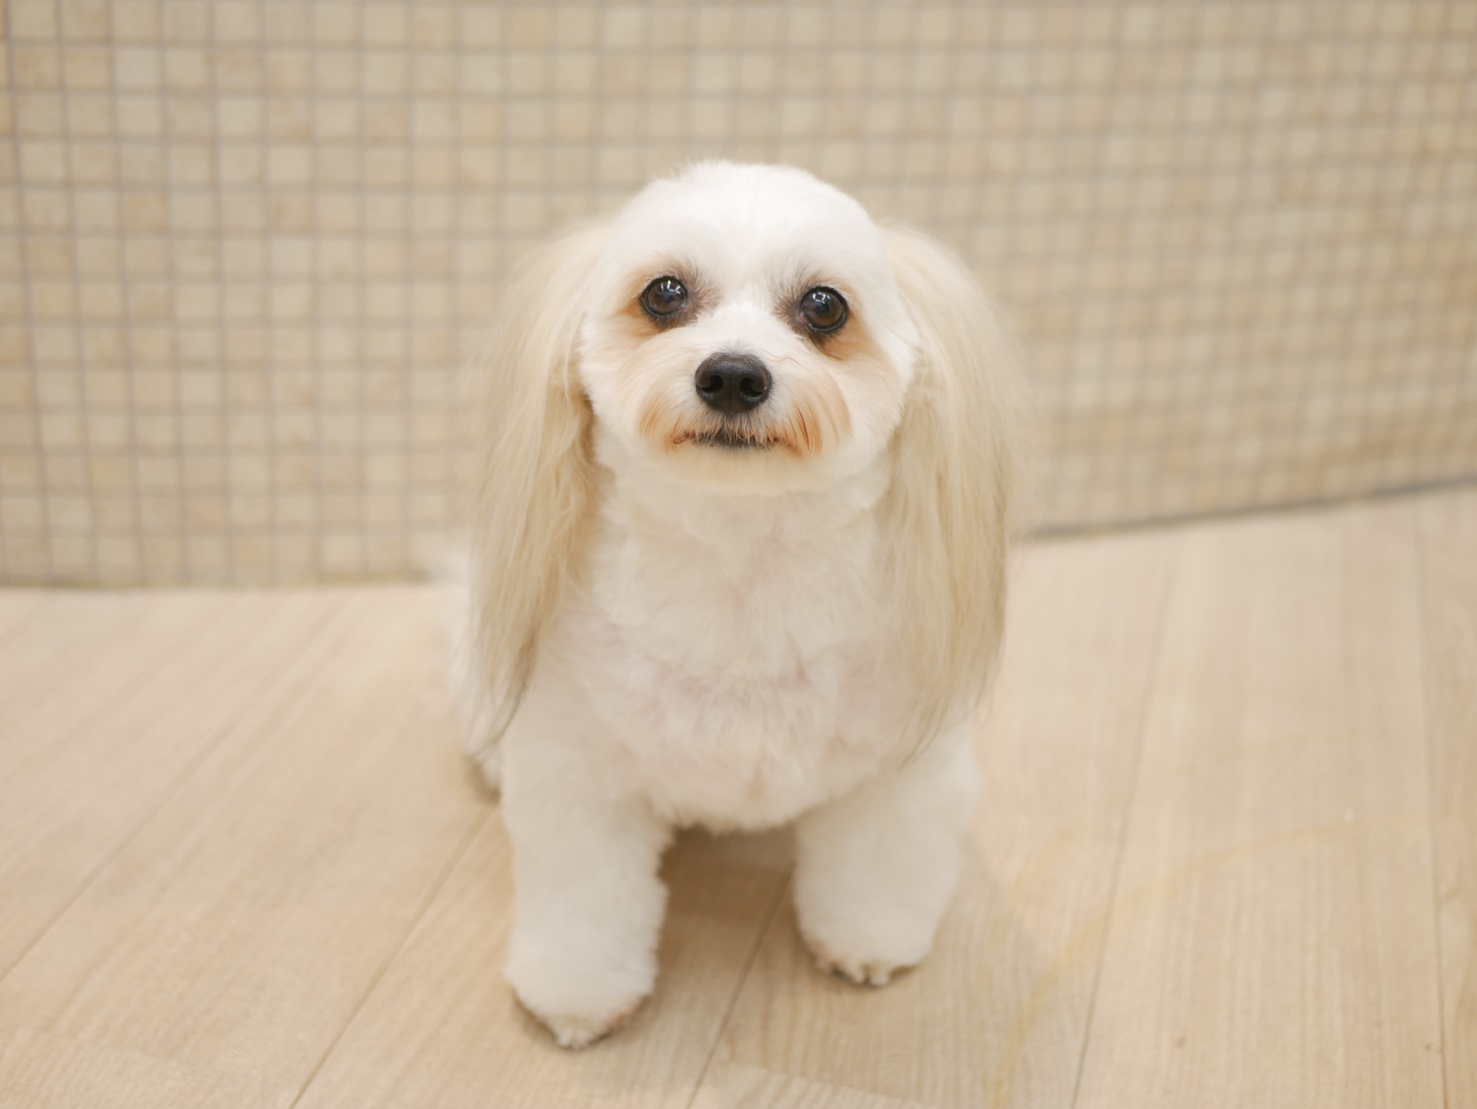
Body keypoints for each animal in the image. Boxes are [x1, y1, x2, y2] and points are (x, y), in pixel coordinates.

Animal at [454, 161, 1023, 1048]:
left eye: (824, 305)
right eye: (662, 292)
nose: (730, 374)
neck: (741, 575)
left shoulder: (897, 775)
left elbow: (876, 864)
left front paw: (866, 941)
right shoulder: (578, 776)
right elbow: (585, 898)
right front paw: (577, 993)